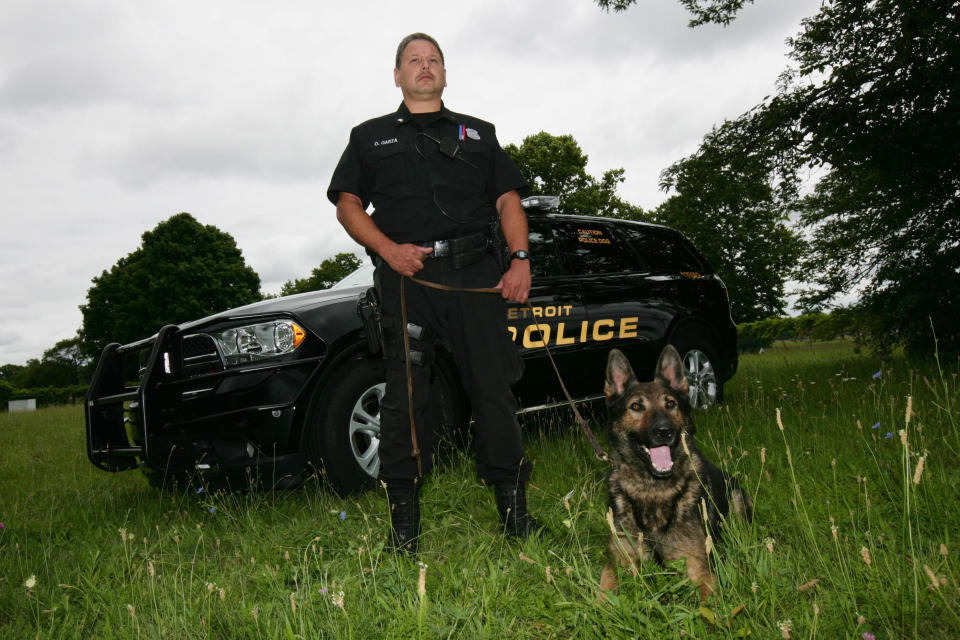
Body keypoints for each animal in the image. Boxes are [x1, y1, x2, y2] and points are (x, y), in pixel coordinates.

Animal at [600, 344, 752, 600]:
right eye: (636, 407)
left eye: (670, 404)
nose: (664, 431)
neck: (652, 490)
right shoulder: (619, 559)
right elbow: (605, 590)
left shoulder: (698, 568)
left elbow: (708, 606)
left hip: (737, 501)